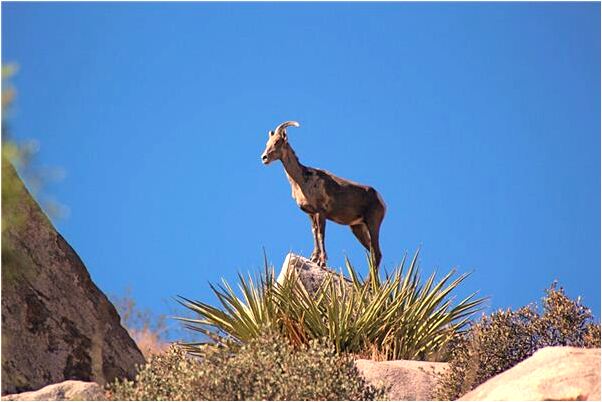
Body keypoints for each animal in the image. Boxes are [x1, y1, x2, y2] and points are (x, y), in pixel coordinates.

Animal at [262, 121, 384, 268]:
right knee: (372, 252)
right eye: (267, 143)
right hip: (357, 228)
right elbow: (314, 233)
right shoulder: (311, 214)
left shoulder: (321, 213)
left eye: (277, 141)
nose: (264, 158)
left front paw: (321, 262)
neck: (303, 180)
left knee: (377, 253)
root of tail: (381, 200)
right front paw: (314, 258)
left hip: (372, 224)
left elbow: (321, 235)